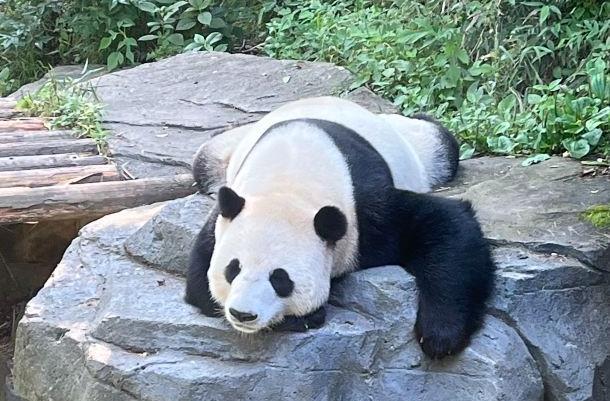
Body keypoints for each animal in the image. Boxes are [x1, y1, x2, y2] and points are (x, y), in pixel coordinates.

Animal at [185, 95, 494, 358]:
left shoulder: (364, 210)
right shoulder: (229, 211)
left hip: (416, 148)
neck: (289, 179)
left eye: (280, 279)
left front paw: (439, 336)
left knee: (440, 144)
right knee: (203, 160)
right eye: (232, 269)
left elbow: (444, 223)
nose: (243, 314)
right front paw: (307, 315)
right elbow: (200, 285)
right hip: (223, 152)